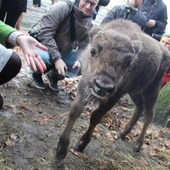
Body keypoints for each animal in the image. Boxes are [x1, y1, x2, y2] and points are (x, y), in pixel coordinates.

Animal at [56, 18, 170, 161]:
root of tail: (165, 51)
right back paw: (122, 133)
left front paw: (81, 144)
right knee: (139, 107)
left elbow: (96, 117)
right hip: (135, 92)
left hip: (152, 90)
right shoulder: (85, 84)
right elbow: (75, 110)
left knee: (149, 114)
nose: (102, 86)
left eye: (128, 62)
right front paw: (61, 150)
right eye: (93, 51)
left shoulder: (115, 95)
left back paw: (137, 145)